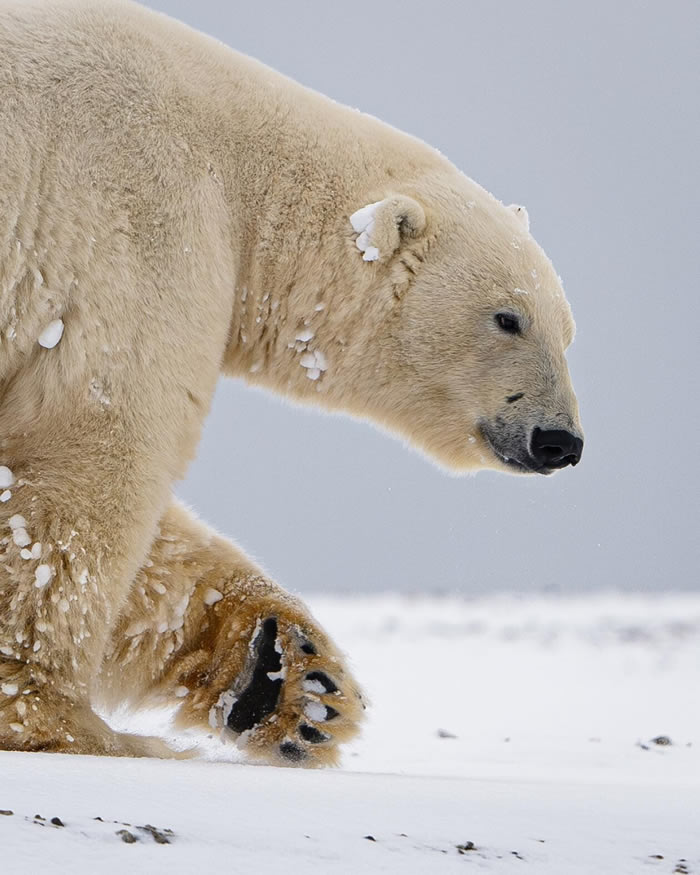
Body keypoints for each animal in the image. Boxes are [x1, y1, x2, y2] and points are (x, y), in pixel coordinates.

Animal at [0, 0, 584, 768]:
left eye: (569, 330)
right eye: (508, 318)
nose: (560, 440)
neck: (238, 172)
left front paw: (287, 677)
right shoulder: (131, 228)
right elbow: (87, 448)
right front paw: (61, 718)